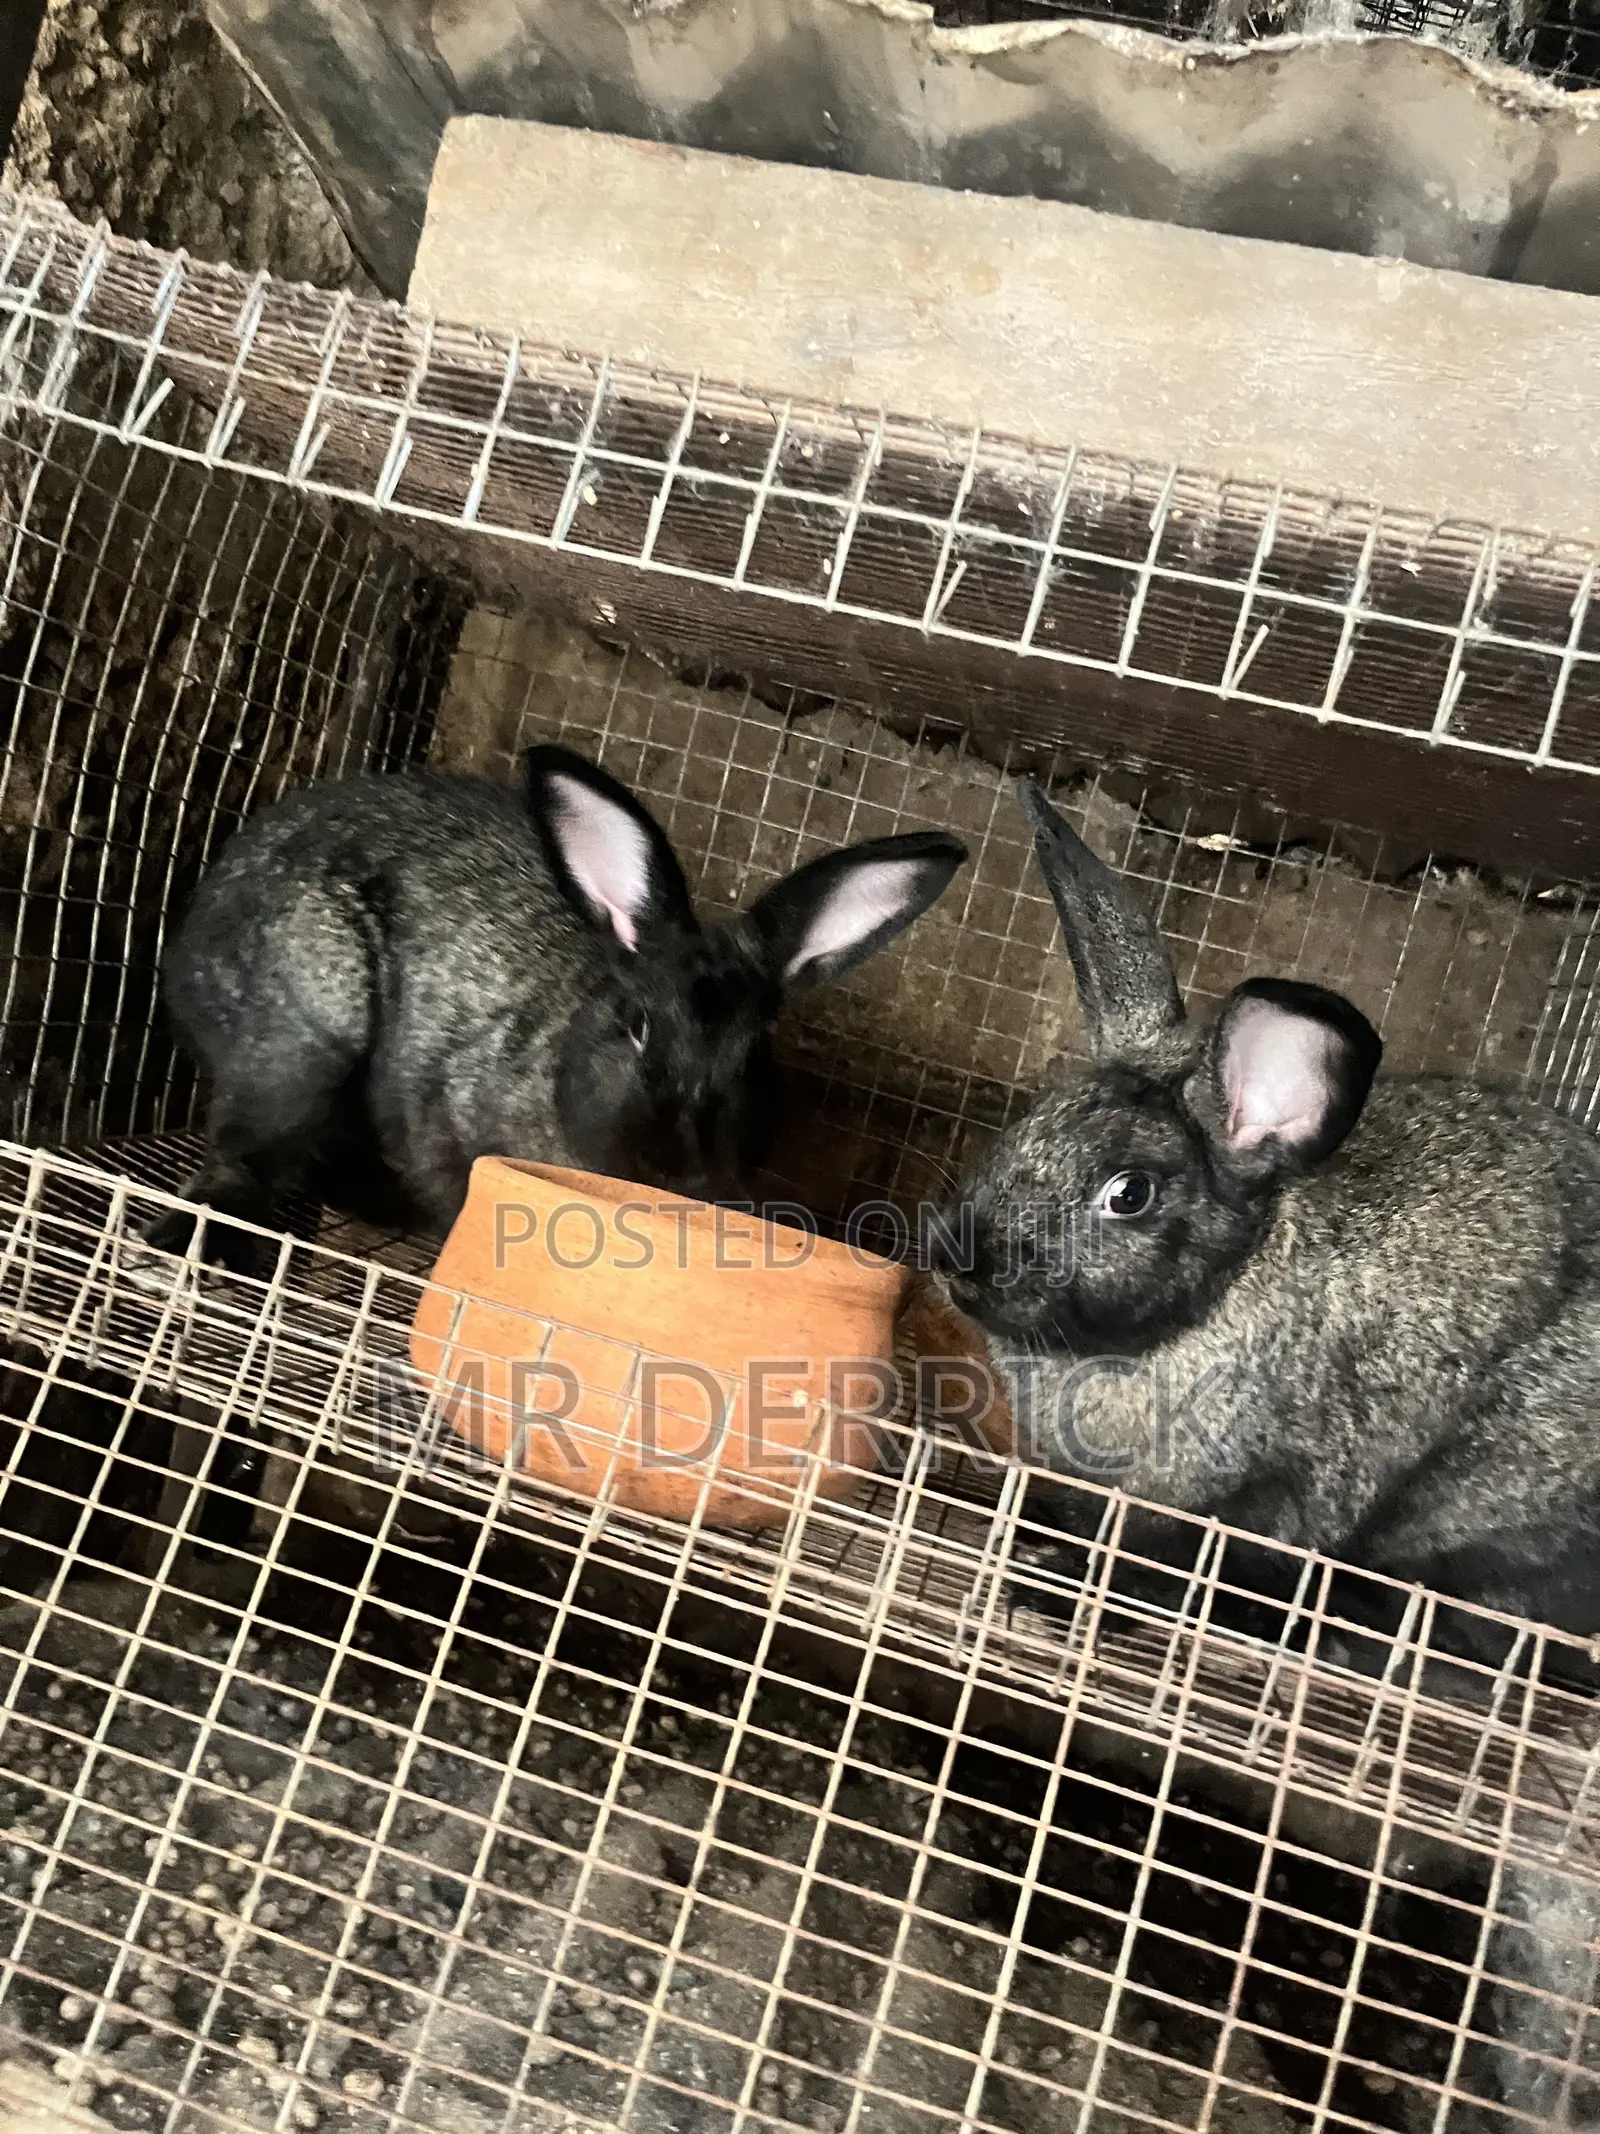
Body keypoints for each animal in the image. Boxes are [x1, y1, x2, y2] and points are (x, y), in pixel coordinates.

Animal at [144, 742, 968, 1274]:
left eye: (757, 1057)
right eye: (635, 1025)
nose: (681, 1173)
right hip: (309, 1027)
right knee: (252, 1141)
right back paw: (209, 1246)